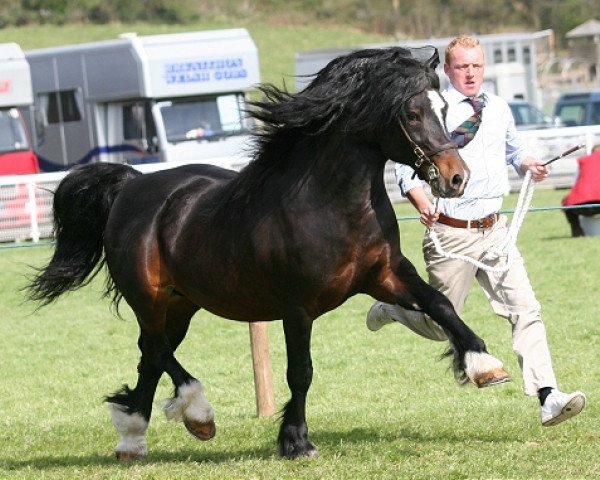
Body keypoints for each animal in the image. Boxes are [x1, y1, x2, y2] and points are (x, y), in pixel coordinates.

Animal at [25, 47, 508, 462]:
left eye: (443, 108)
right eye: (411, 113)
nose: (456, 178)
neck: (331, 205)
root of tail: (132, 185)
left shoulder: (386, 275)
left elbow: (440, 304)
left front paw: (486, 365)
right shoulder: (298, 307)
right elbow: (301, 371)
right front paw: (296, 441)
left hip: (180, 304)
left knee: (151, 353)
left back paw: (135, 438)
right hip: (148, 296)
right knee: (158, 348)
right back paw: (197, 413)